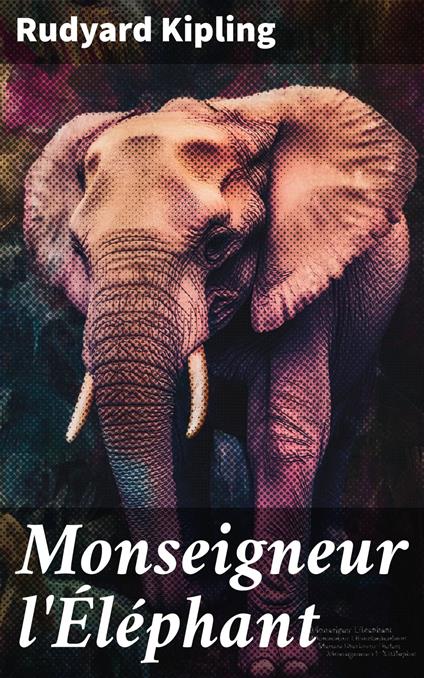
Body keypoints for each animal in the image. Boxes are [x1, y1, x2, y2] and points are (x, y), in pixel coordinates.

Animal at [23, 86, 417, 676]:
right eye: (81, 249)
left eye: (217, 244)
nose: (166, 610)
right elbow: (177, 440)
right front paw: (195, 610)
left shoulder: (304, 279)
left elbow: (283, 436)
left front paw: (278, 665)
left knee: (344, 425)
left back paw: (329, 552)